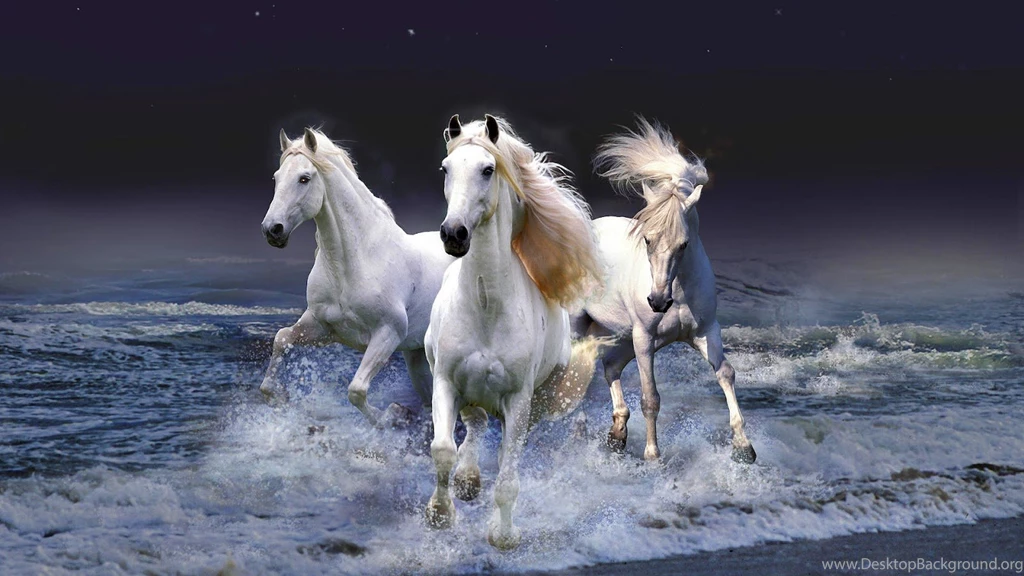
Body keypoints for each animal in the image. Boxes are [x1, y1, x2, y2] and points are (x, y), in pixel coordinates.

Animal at [259, 128, 454, 426]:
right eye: (277, 177)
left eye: (304, 178)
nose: (272, 230)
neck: (354, 263)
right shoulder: (323, 328)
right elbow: (281, 339)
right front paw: (280, 397)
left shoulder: (388, 334)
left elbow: (356, 390)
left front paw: (391, 416)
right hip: (417, 356)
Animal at [423, 114, 605, 550]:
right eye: (445, 169)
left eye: (488, 170)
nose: (454, 234)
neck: (486, 306)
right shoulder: (446, 381)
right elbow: (443, 449)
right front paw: (440, 514)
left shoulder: (519, 400)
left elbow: (508, 477)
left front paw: (503, 536)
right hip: (468, 391)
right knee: (474, 424)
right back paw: (468, 481)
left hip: (535, 402)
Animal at [571, 118, 757, 464]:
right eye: (647, 239)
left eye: (684, 243)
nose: (658, 301)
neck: (679, 291)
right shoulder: (645, 338)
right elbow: (650, 398)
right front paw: (652, 456)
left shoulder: (705, 332)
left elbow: (726, 373)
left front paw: (744, 447)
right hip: (584, 327)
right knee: (576, 373)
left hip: (620, 334)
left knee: (610, 366)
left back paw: (617, 434)